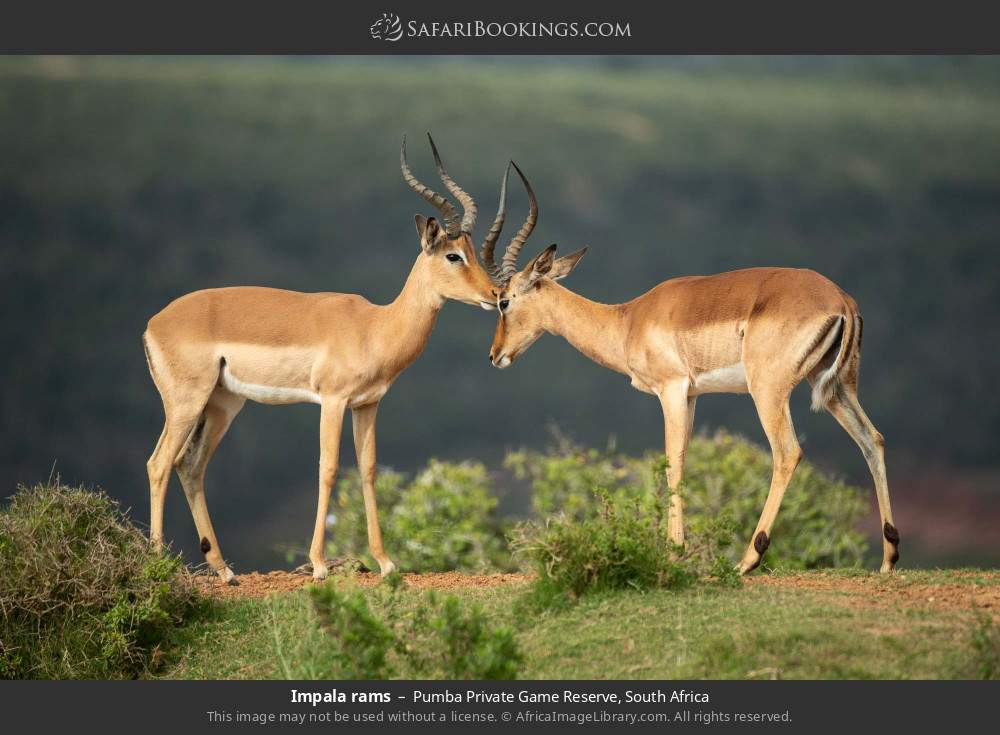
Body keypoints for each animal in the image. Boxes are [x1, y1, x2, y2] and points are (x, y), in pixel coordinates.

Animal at [143, 135, 527, 582]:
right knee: (159, 463)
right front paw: (319, 565)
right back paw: (156, 563)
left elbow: (368, 469)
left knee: (190, 465)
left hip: (223, 403)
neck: (375, 327)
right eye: (453, 255)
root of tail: (154, 323)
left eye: (472, 252)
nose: (494, 295)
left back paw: (224, 571)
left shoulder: (367, 404)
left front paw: (385, 561)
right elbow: (327, 468)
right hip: (187, 402)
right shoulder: (332, 400)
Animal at [486, 165, 900, 575]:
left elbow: (673, 463)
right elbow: (683, 460)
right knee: (872, 439)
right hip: (837, 388)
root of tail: (841, 300)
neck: (628, 321)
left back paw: (747, 560)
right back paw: (888, 559)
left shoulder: (670, 389)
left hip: (768, 390)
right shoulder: (692, 395)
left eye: (504, 301)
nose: (494, 355)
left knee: (787, 452)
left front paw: (674, 552)